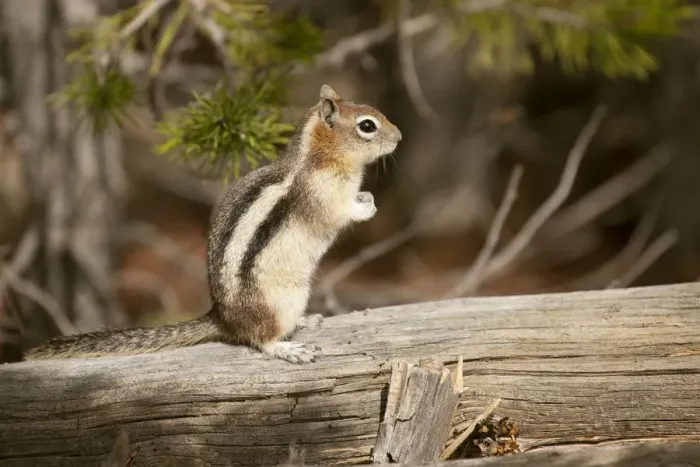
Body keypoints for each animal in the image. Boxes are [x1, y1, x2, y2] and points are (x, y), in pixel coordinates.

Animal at [23, 84, 402, 364]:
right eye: (367, 125)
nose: (399, 136)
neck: (318, 157)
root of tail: (222, 317)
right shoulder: (321, 196)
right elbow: (339, 214)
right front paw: (367, 207)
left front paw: (366, 196)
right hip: (281, 300)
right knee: (260, 339)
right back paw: (287, 347)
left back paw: (305, 321)